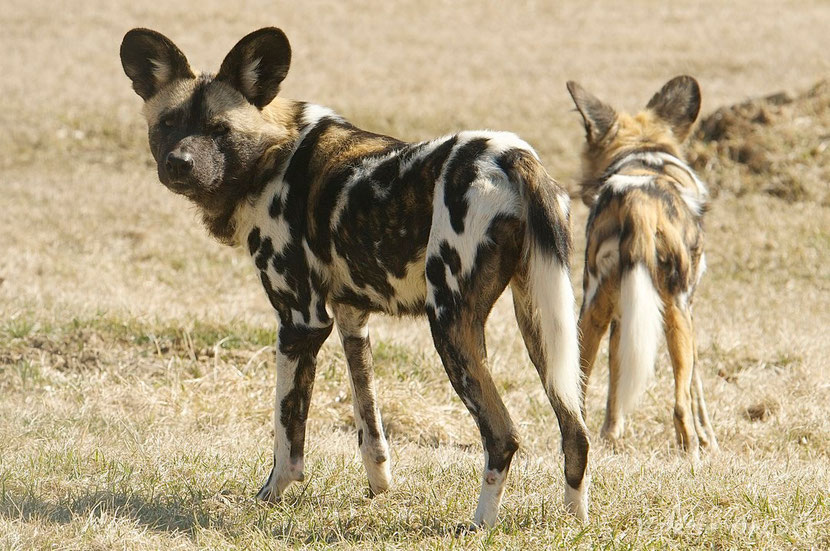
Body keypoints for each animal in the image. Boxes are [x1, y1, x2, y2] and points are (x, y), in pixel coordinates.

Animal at [120, 28, 592, 528]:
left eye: (219, 130)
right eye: (168, 124)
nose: (179, 163)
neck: (273, 155)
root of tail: (511, 154)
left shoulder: (301, 322)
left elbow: (287, 435)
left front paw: (268, 498)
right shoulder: (351, 321)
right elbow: (370, 426)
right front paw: (380, 490)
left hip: (450, 326)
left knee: (502, 435)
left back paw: (480, 524)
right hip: (542, 326)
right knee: (575, 433)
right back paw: (573, 523)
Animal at [568, 75, 720, 460]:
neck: (644, 153)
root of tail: (637, 201)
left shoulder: (622, 316)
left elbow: (615, 382)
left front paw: (611, 434)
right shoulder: (688, 308)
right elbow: (696, 388)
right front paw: (709, 439)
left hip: (591, 310)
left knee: (576, 393)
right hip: (676, 311)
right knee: (680, 403)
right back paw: (691, 453)